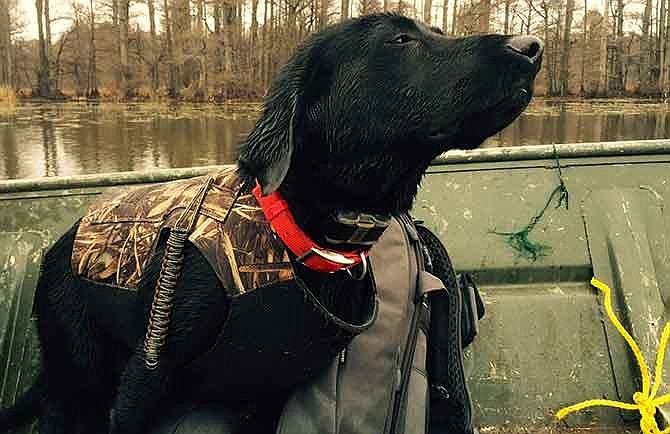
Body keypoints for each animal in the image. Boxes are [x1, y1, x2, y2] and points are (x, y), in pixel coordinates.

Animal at [0, 12, 544, 434]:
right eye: (400, 40)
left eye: (435, 32)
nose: (533, 47)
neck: (300, 235)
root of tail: (55, 250)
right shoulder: (146, 375)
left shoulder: (261, 393)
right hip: (82, 369)